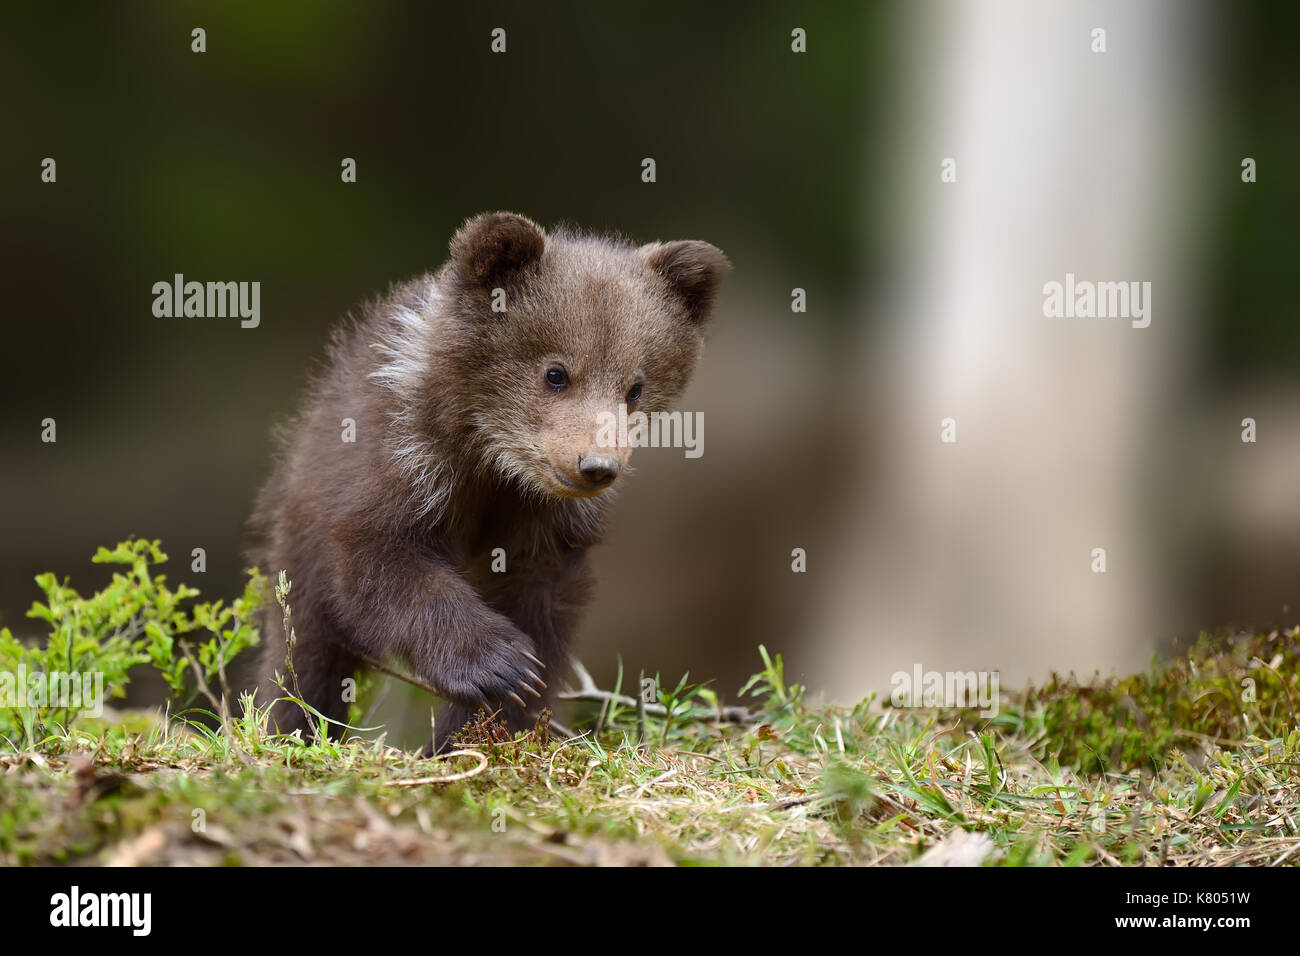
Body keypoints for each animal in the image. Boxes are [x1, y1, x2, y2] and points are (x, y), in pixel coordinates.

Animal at [248, 211, 729, 752]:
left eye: (635, 387)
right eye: (556, 372)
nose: (595, 465)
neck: (495, 461)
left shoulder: (543, 526)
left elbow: (542, 608)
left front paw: (488, 722)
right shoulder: (399, 461)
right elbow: (379, 560)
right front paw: (499, 665)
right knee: (305, 652)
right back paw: (293, 726)